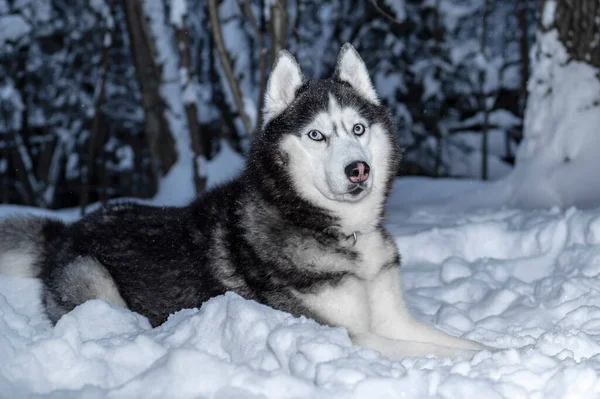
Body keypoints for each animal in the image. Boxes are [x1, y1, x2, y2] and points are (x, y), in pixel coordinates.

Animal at [0, 44, 482, 362]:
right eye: (316, 135)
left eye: (358, 129)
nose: (358, 169)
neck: (335, 230)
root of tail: (68, 228)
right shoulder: (339, 333)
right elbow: (428, 351)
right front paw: (479, 365)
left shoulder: (393, 318)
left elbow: (457, 341)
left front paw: (494, 348)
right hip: (95, 282)